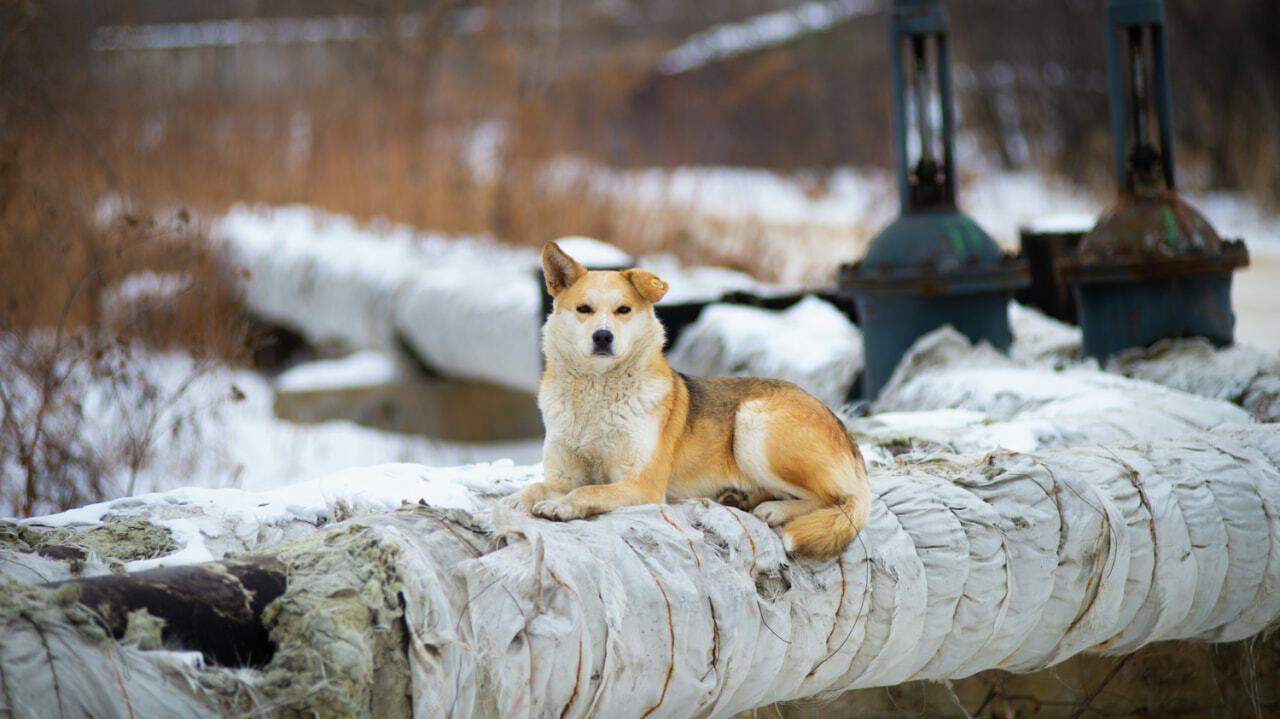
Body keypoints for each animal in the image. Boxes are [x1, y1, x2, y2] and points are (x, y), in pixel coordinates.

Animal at [499, 243, 870, 557]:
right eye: (583, 309)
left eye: (623, 310)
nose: (602, 336)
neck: (597, 391)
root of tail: (847, 434)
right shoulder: (563, 477)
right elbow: (537, 487)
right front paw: (513, 502)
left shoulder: (642, 484)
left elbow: (590, 491)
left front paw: (562, 506)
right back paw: (740, 497)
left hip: (752, 424)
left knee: (835, 499)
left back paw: (775, 509)